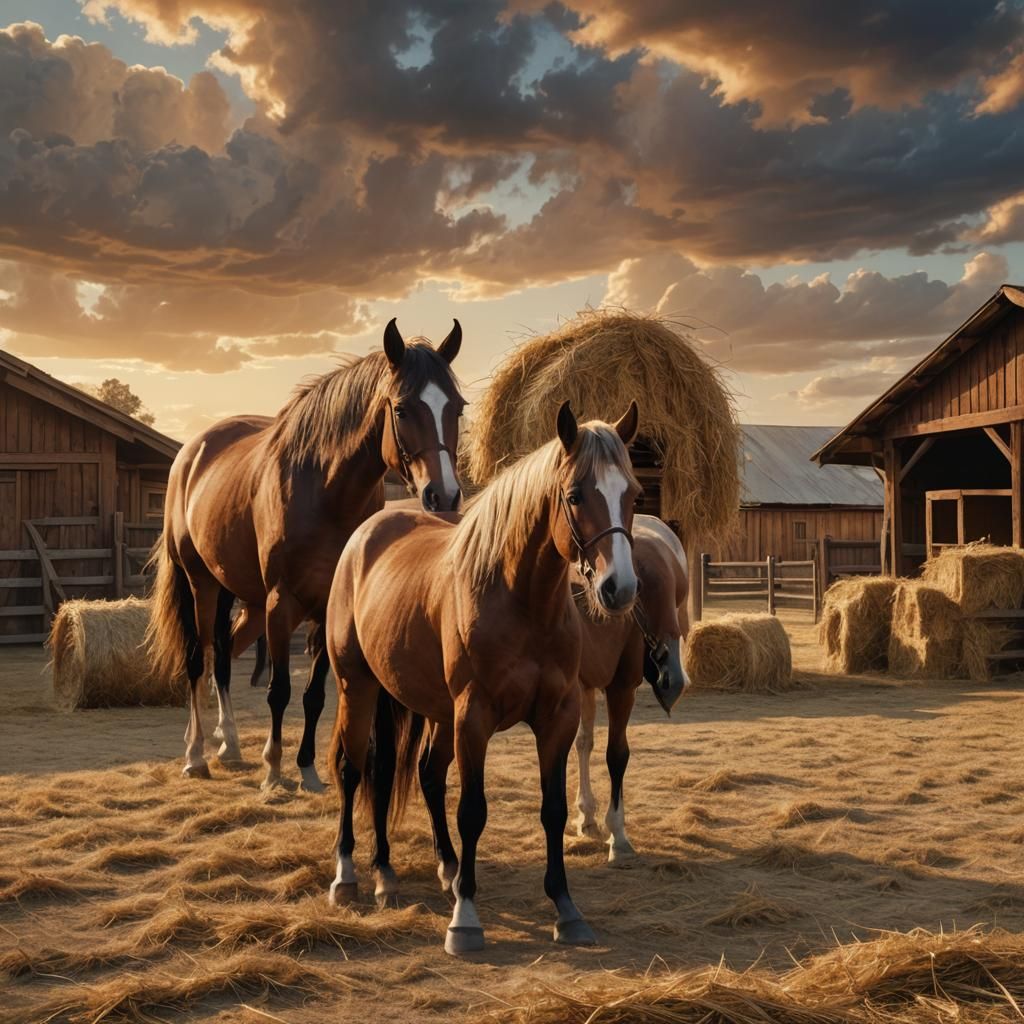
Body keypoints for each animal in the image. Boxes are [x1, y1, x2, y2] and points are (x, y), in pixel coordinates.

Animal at [146, 319, 465, 791]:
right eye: (402, 409)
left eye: (457, 408)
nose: (443, 496)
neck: (324, 490)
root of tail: (191, 452)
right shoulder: (283, 603)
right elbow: (279, 690)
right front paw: (274, 769)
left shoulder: (327, 607)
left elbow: (313, 695)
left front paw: (308, 769)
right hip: (199, 583)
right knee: (197, 661)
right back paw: (196, 753)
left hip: (236, 592)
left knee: (222, 658)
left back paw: (230, 744)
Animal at [324, 401, 641, 954]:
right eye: (576, 495)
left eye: (633, 493)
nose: (618, 588)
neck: (518, 600)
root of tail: (365, 535)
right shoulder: (473, 717)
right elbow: (472, 810)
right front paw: (465, 921)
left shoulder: (557, 717)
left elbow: (553, 809)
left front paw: (566, 909)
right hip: (357, 688)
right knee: (354, 769)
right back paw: (349, 876)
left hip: (427, 707)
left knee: (416, 774)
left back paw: (418, 871)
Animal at [572, 514, 690, 863]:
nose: (672, 680)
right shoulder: (580, 683)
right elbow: (582, 743)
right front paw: (585, 815)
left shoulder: (621, 687)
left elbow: (617, 754)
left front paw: (618, 835)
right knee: (584, 743)